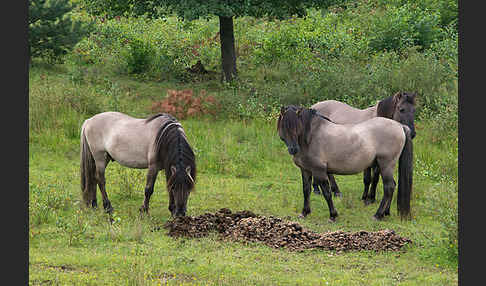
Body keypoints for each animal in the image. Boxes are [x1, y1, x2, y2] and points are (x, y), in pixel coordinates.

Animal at [278, 105, 414, 221]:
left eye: (297, 126)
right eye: (284, 126)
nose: (293, 149)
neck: (312, 136)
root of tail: (399, 126)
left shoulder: (319, 170)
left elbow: (327, 193)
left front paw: (333, 215)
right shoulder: (305, 170)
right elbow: (306, 190)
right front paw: (304, 212)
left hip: (386, 165)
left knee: (389, 187)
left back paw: (378, 215)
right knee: (392, 185)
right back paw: (386, 212)